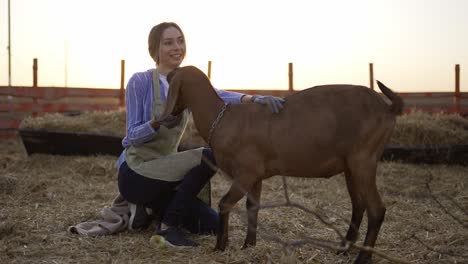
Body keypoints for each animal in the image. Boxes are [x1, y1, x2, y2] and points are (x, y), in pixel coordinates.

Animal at [163, 66, 404, 264]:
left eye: (170, 80)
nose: (167, 115)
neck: (223, 118)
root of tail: (388, 108)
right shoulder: (256, 176)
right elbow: (253, 207)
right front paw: (248, 245)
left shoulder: (246, 172)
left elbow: (225, 203)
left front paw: (220, 247)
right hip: (351, 167)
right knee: (359, 205)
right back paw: (343, 249)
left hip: (363, 159)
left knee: (376, 209)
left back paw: (362, 258)